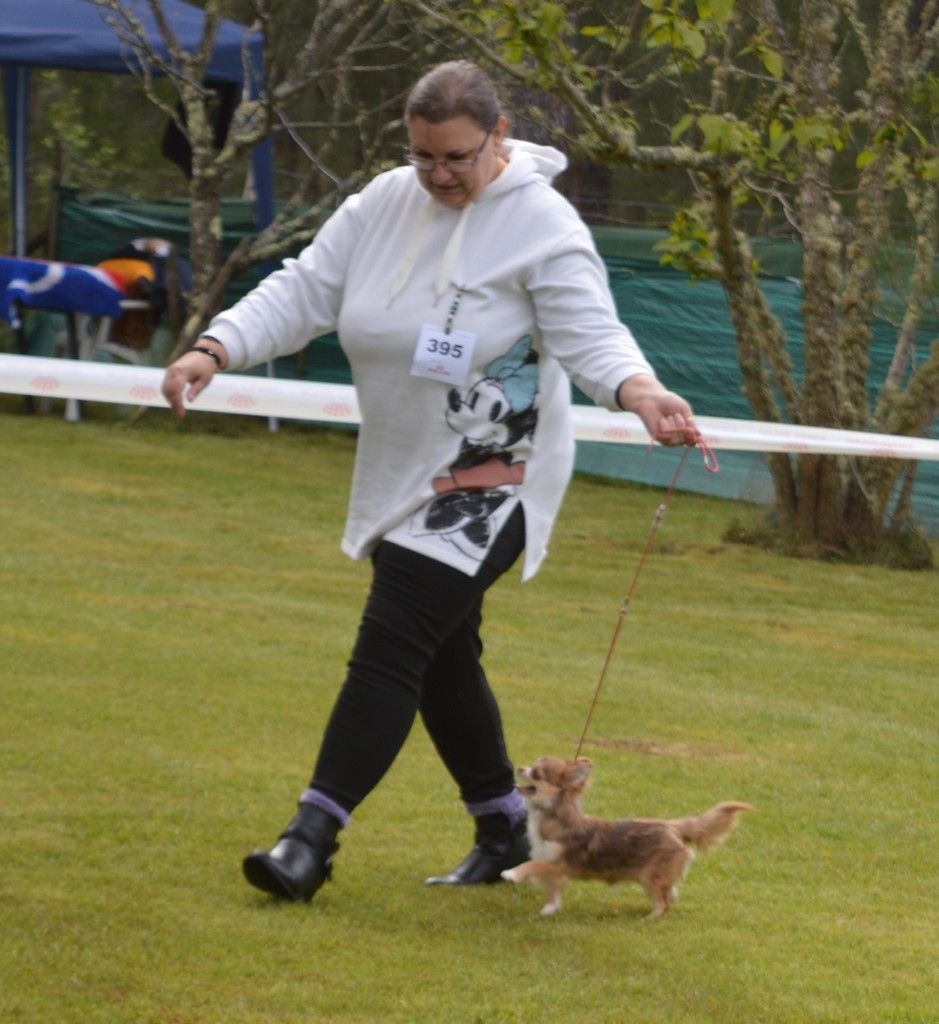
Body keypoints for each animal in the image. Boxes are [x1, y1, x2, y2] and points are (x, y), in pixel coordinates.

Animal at [501, 757, 749, 917]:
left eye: (536, 773)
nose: (520, 768)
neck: (551, 817)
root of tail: (672, 827)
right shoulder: (553, 866)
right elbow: (552, 888)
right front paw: (549, 909)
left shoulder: (561, 864)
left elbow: (532, 865)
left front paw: (512, 873)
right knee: (670, 892)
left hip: (650, 878)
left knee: (663, 903)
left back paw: (649, 919)